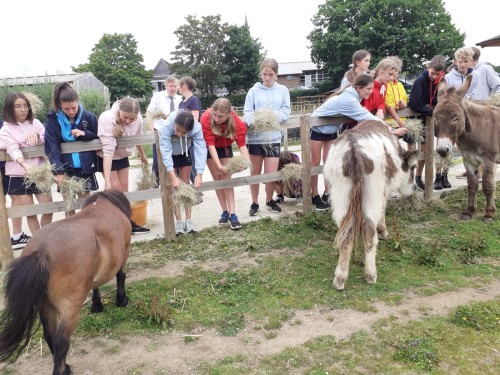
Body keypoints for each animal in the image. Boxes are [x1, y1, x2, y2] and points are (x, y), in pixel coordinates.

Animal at [0, 191, 132, 375]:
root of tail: (41, 252)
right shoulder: (124, 252)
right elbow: (121, 275)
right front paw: (121, 299)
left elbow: (96, 285)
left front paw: (96, 305)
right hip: (70, 309)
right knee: (61, 342)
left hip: (46, 307)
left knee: (49, 335)